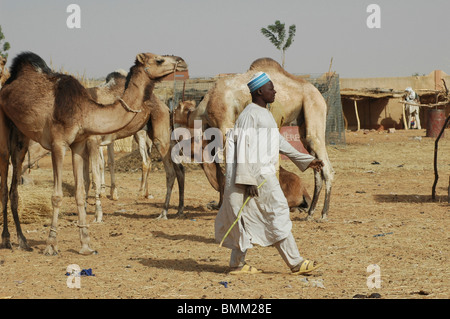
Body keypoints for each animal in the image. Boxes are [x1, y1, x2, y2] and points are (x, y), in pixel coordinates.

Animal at [83, 70, 184, 222]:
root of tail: (167, 108)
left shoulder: (95, 140)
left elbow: (100, 168)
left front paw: (101, 207)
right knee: (179, 168)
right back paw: (178, 209)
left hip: (155, 136)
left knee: (163, 168)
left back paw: (159, 208)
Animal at [176, 57, 334, 220]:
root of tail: (319, 95)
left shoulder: (225, 124)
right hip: (304, 124)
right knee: (317, 167)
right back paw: (310, 213)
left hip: (314, 110)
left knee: (326, 167)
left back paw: (323, 214)